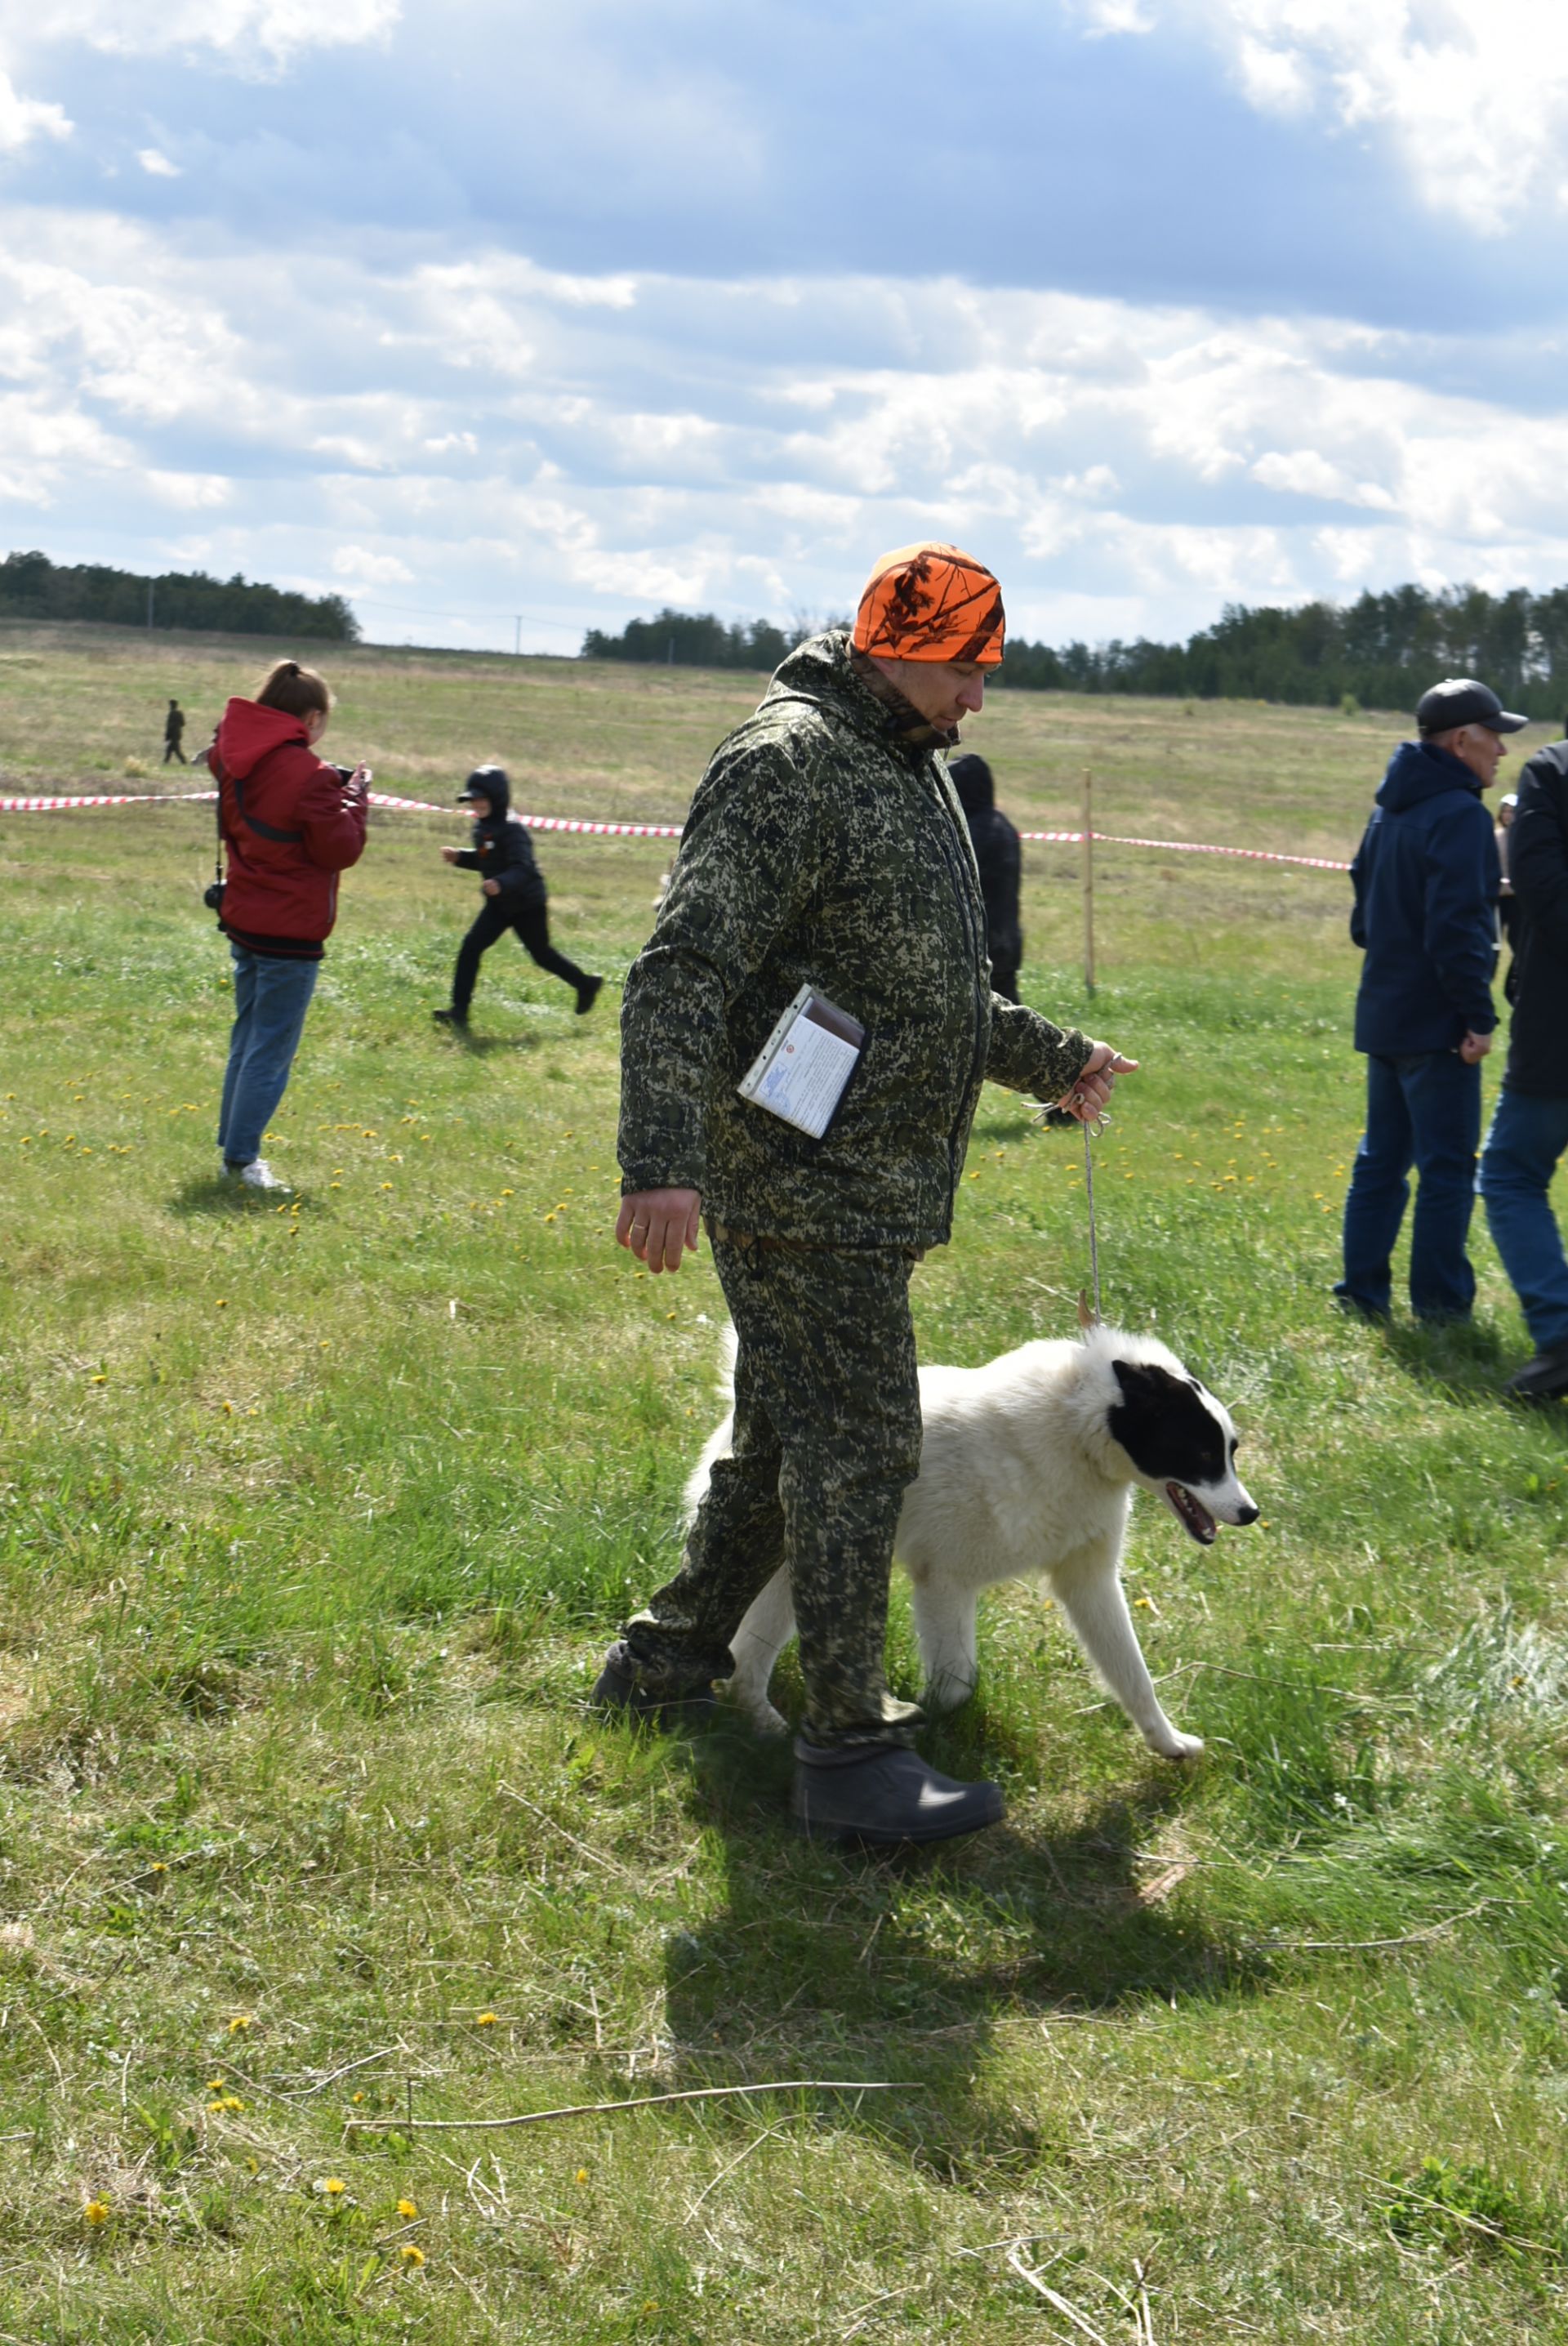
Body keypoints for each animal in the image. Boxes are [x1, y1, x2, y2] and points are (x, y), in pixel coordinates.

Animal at [684, 1322, 1256, 1764]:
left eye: (1230, 1451)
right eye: (1203, 1454)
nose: (1250, 1513)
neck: (1074, 1430)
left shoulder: (1089, 1581)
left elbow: (1133, 1675)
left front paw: (1168, 1743)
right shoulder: (945, 1582)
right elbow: (957, 1683)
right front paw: (926, 1733)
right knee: (747, 1651)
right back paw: (762, 1722)